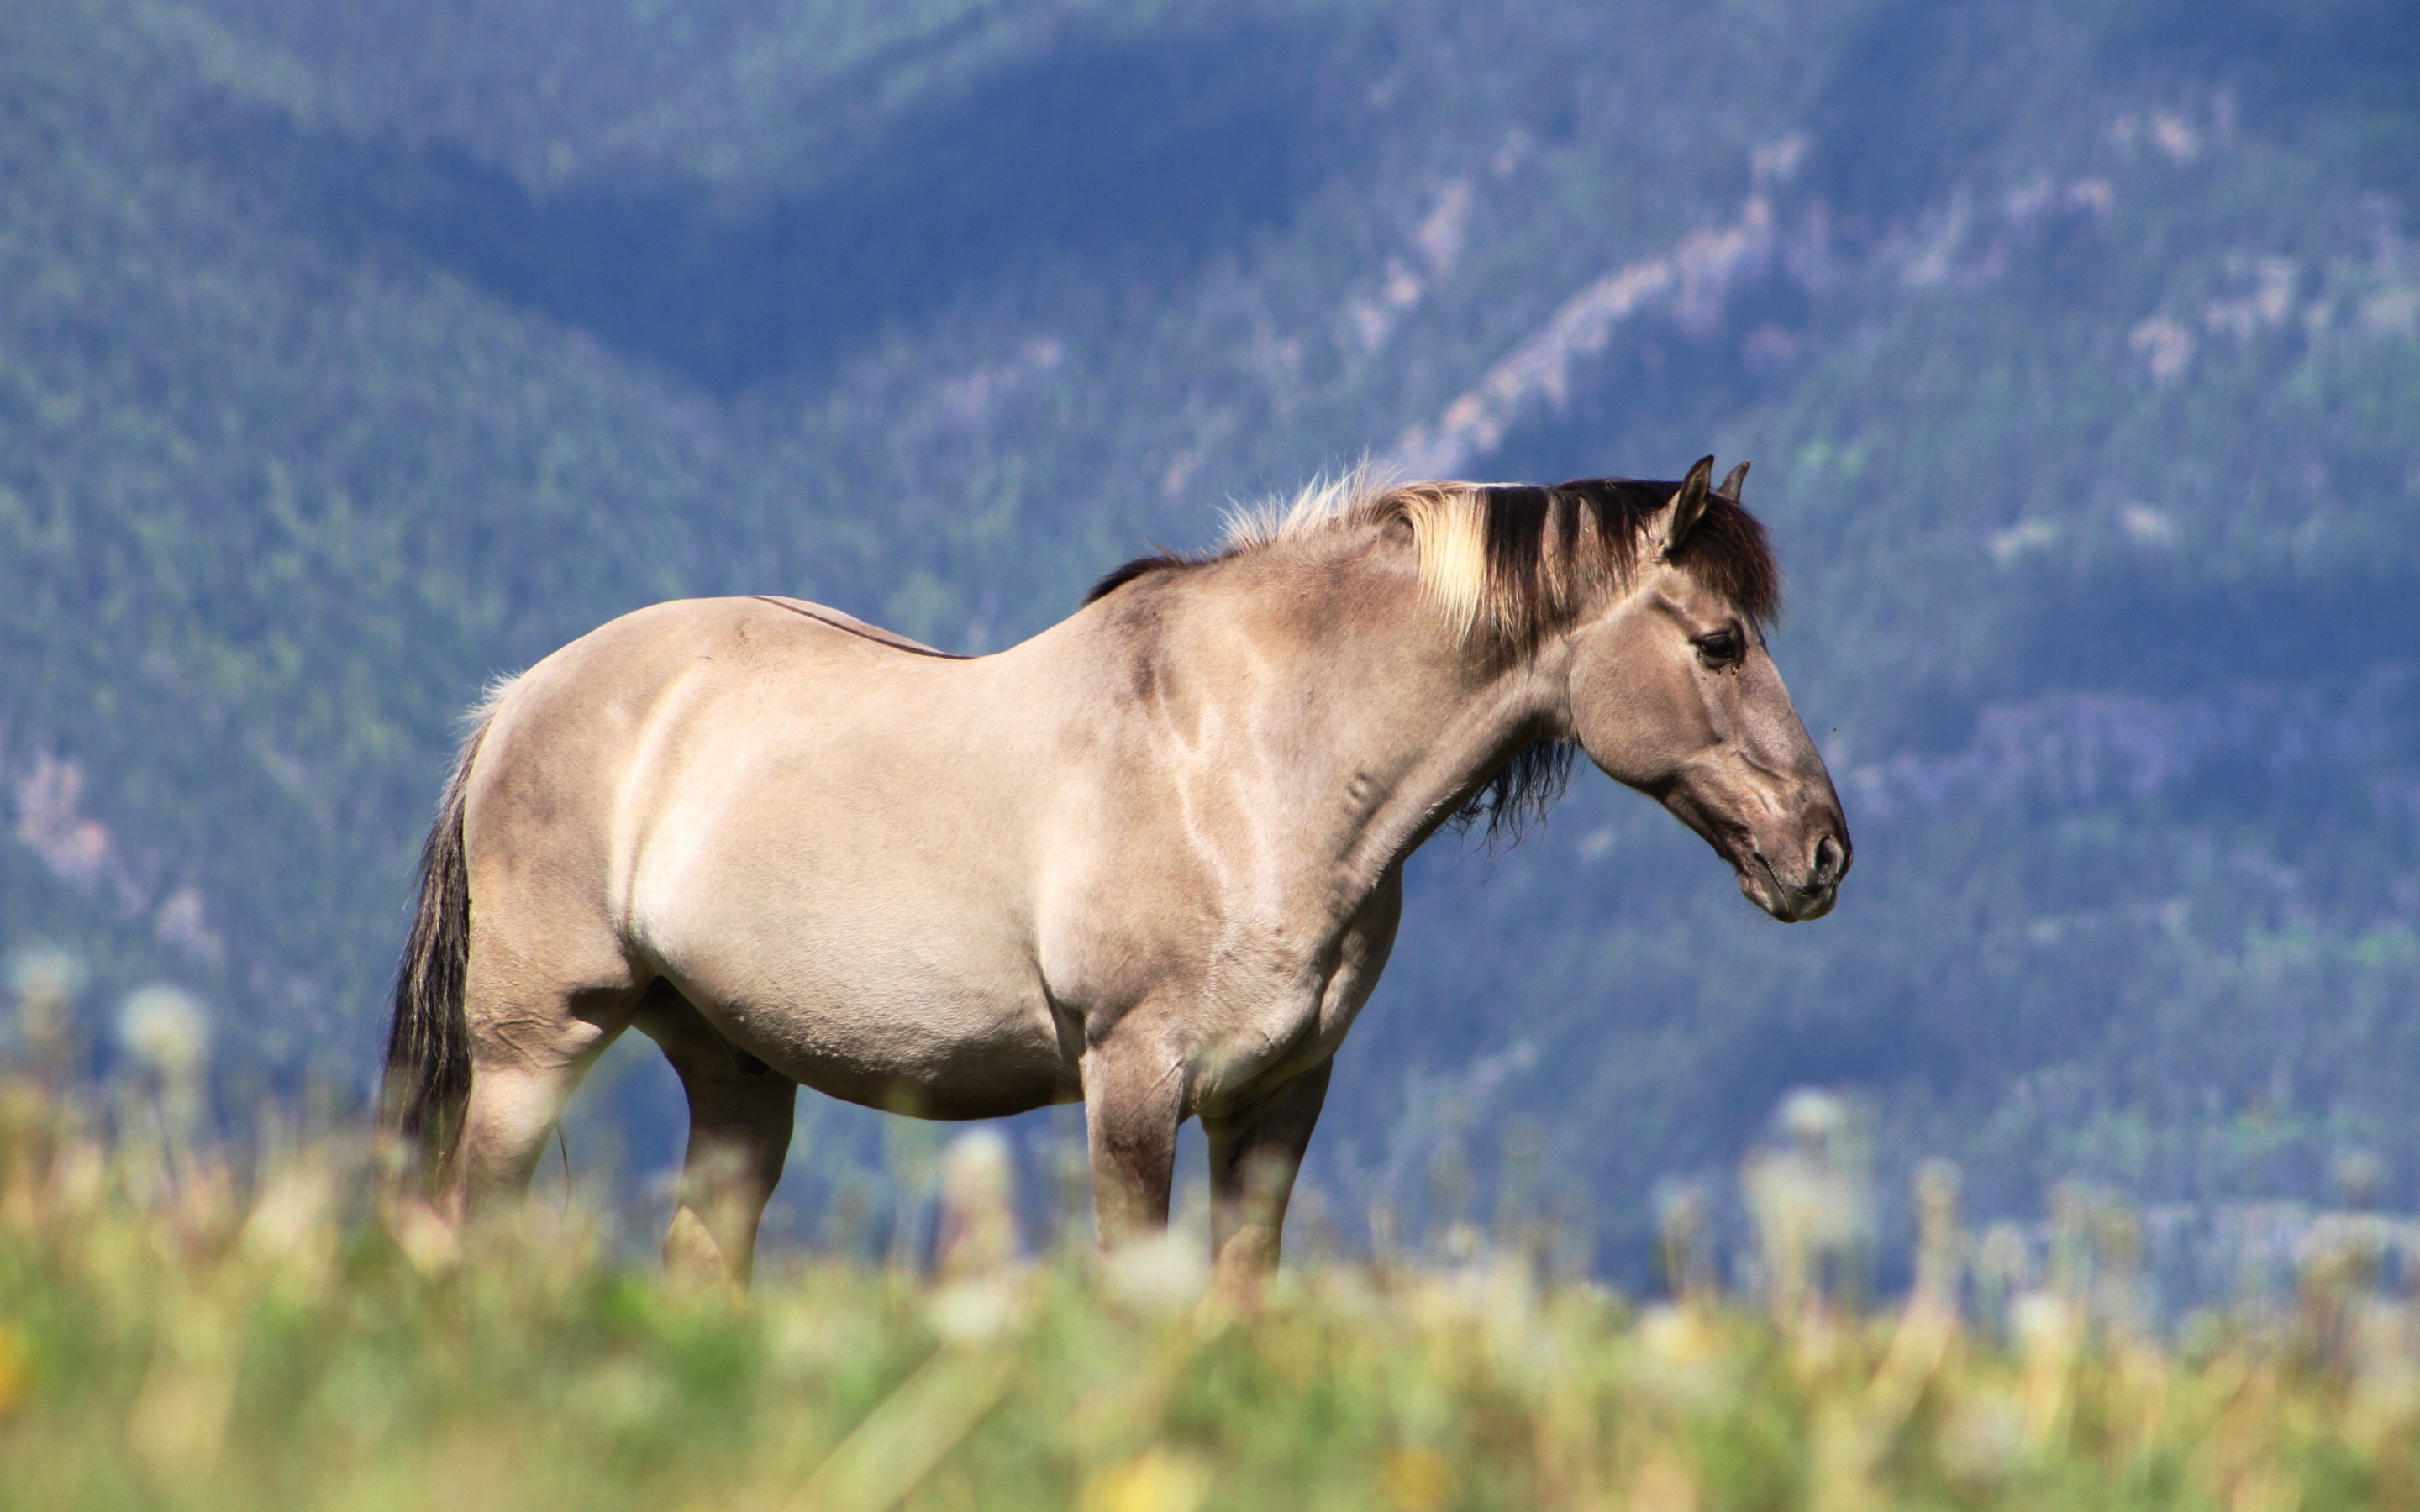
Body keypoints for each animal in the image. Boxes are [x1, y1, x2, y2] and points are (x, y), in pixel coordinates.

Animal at [382, 454, 1849, 1277]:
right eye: (1718, 642)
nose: (1822, 851)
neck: (1254, 762)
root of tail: (514, 704)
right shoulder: (1134, 1079)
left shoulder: (1283, 1098)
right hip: (535, 1052)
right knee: (458, 1230)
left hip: (737, 1073)